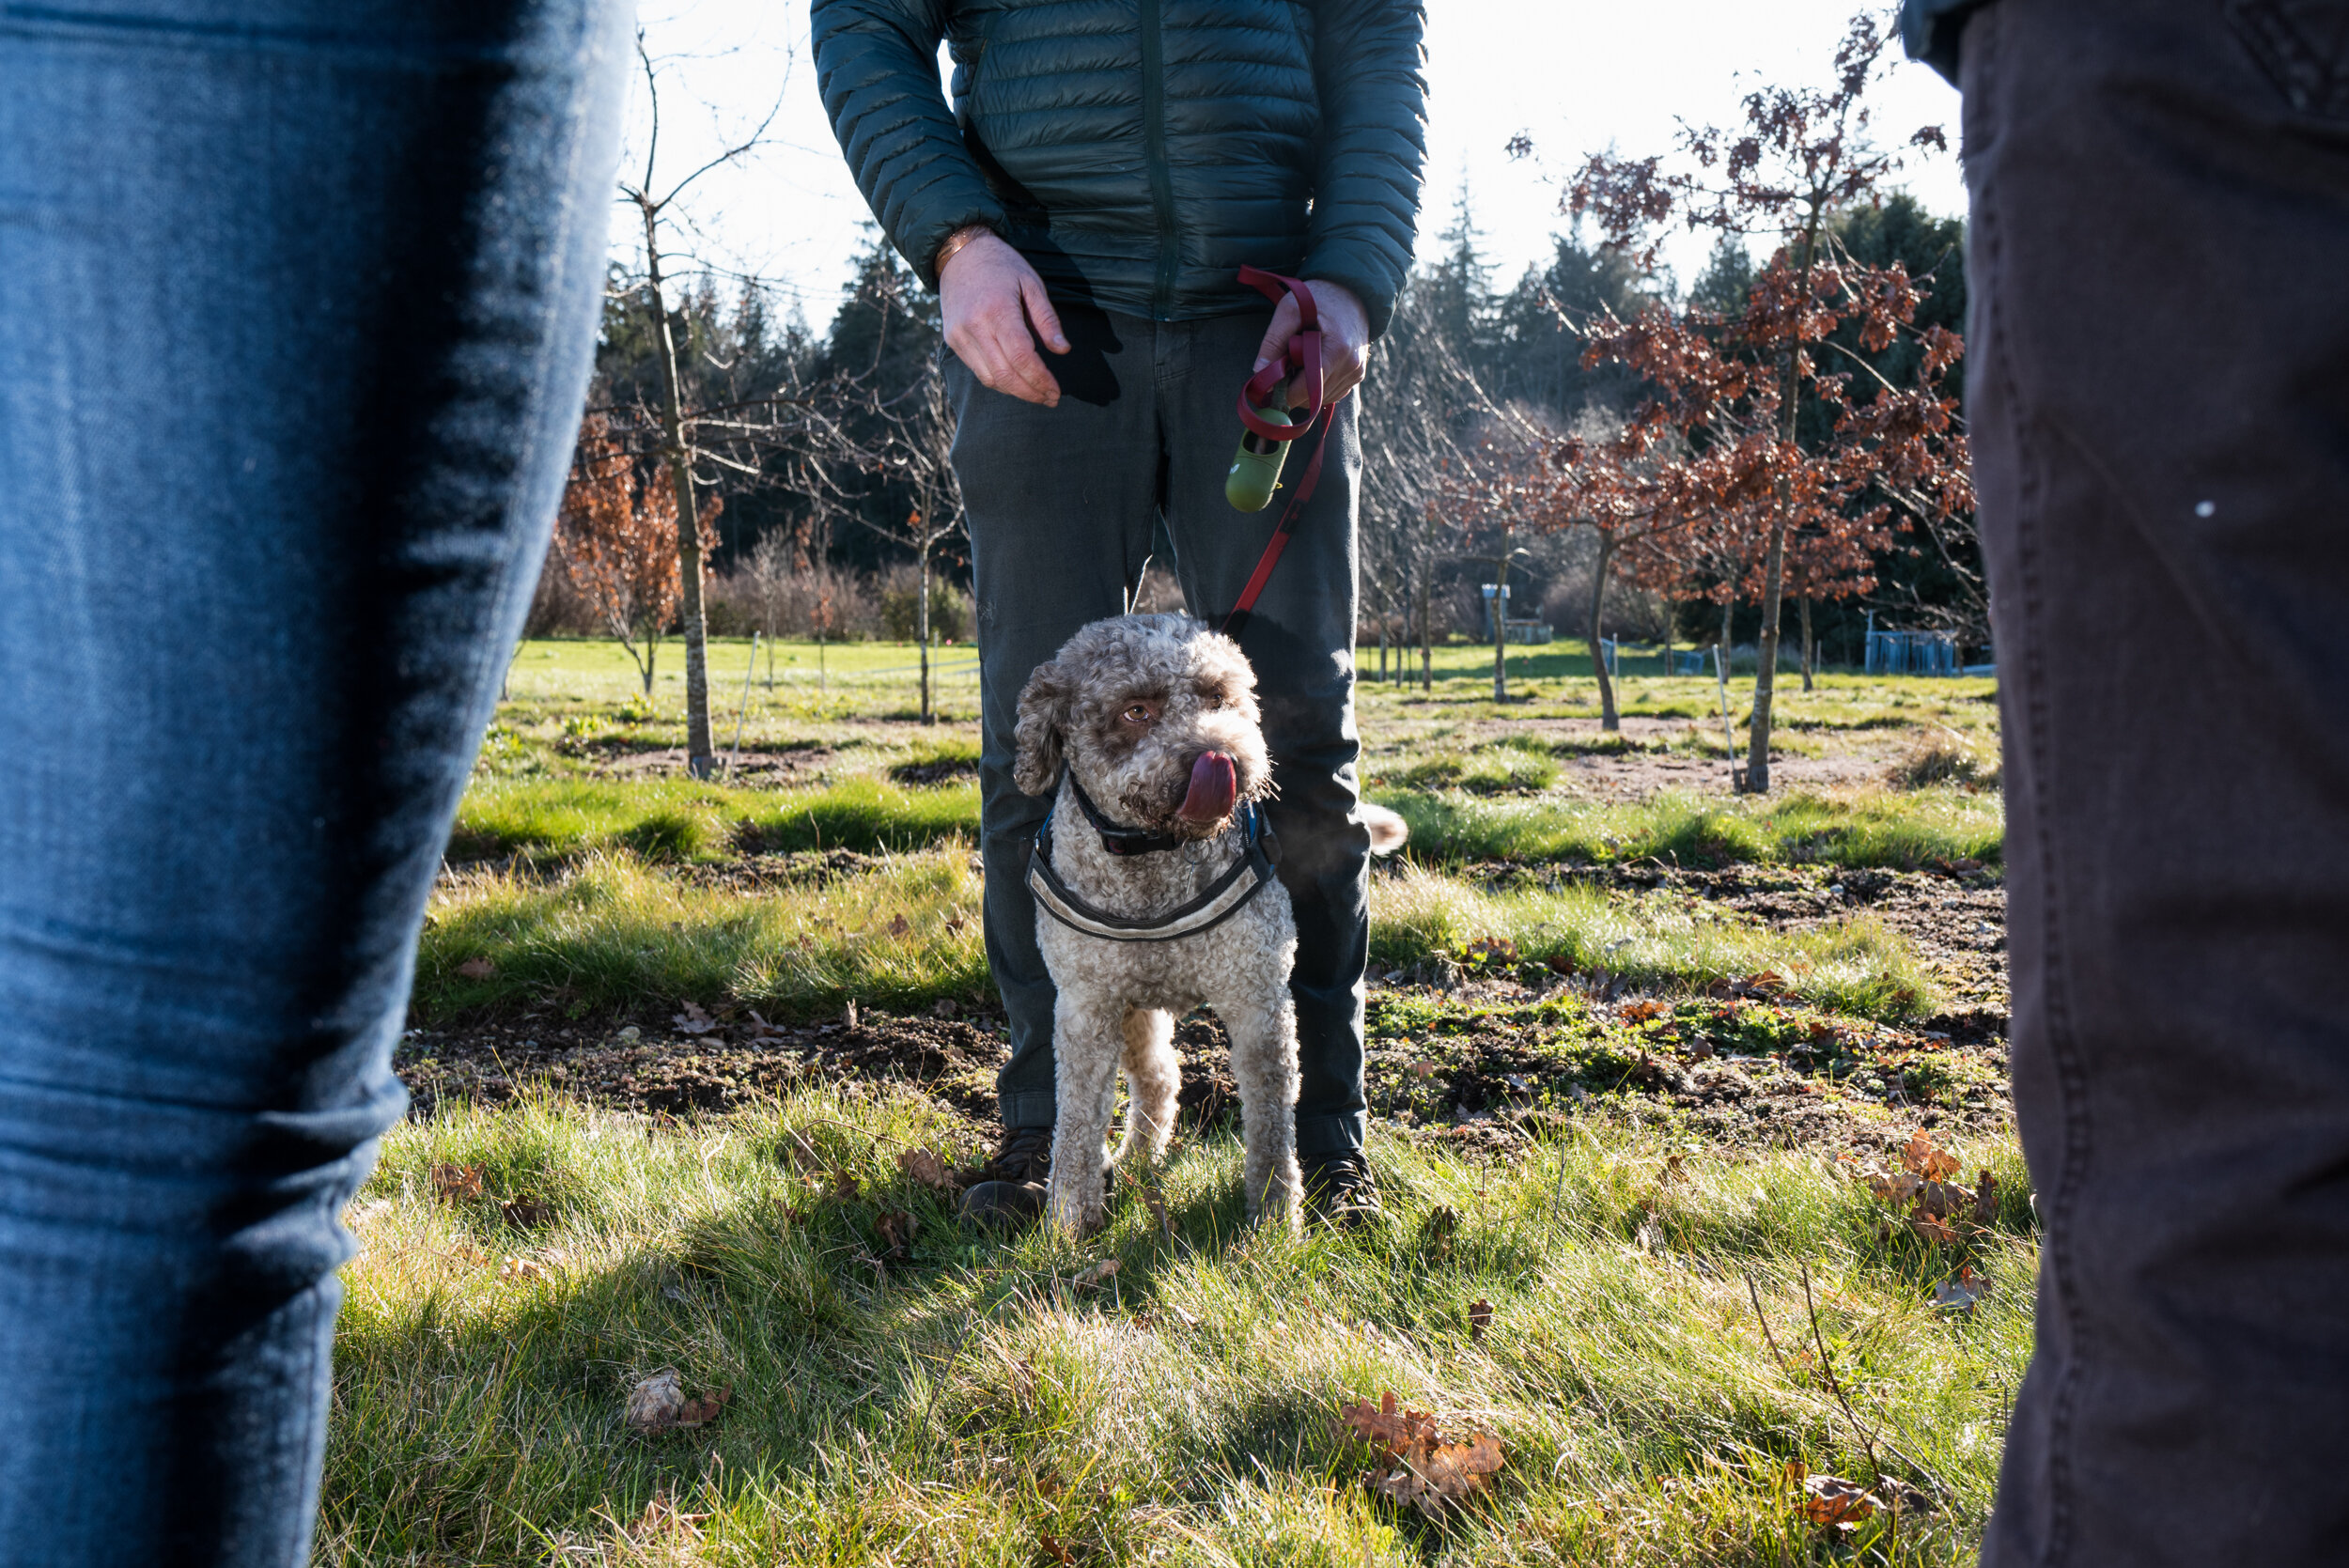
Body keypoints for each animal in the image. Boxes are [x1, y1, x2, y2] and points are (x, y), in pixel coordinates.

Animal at [1015, 610, 1409, 1239]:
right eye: (1136, 711)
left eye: (1219, 698)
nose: (1222, 757)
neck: (1153, 858)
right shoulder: (1086, 1006)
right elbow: (1075, 1120)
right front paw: (1070, 1221)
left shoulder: (1258, 999)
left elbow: (1271, 1124)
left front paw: (1274, 1218)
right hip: (1132, 1007)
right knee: (1159, 1078)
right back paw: (1135, 1159)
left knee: (1164, 1078)